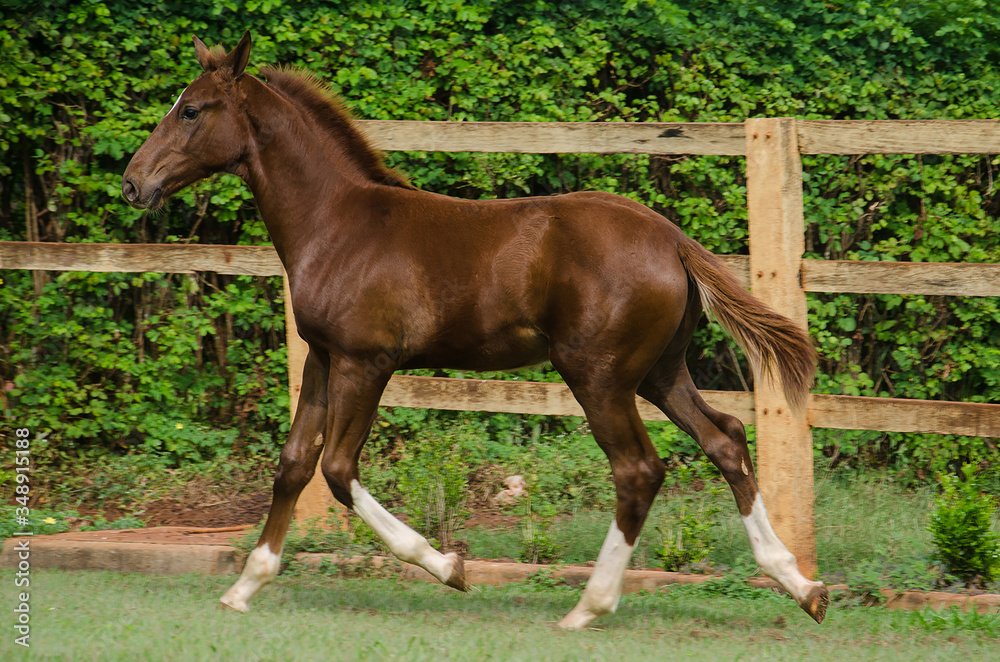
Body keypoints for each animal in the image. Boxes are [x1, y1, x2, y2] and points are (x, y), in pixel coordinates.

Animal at [122, 31, 828, 629]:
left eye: (192, 110)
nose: (133, 183)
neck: (336, 223)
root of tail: (672, 239)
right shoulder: (324, 357)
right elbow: (293, 464)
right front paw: (245, 586)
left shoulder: (364, 362)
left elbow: (338, 470)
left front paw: (449, 567)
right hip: (658, 371)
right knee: (725, 438)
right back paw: (801, 585)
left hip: (598, 376)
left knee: (638, 470)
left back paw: (589, 606)